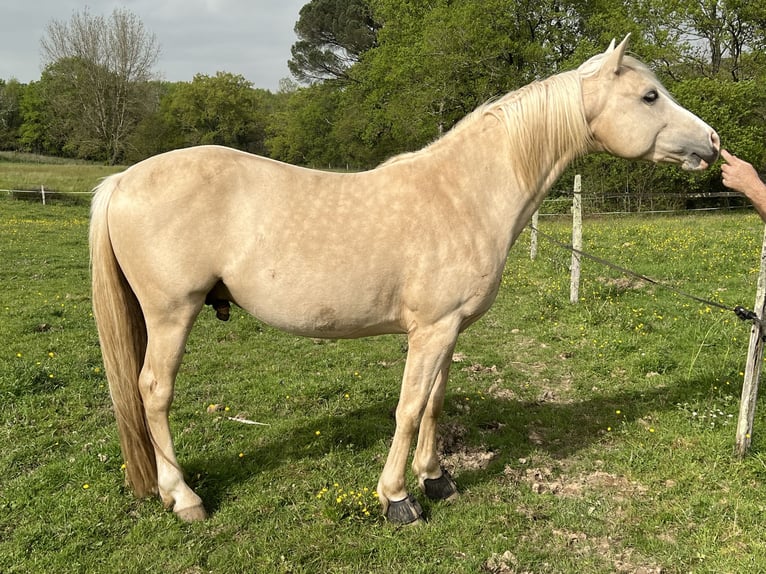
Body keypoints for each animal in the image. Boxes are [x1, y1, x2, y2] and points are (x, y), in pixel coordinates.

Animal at [90, 36, 720, 528]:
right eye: (649, 96)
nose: (712, 144)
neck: (465, 193)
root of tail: (122, 180)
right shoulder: (431, 330)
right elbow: (410, 407)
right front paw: (398, 500)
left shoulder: (449, 330)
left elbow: (436, 403)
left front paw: (436, 479)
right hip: (172, 314)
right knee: (154, 393)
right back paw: (185, 498)